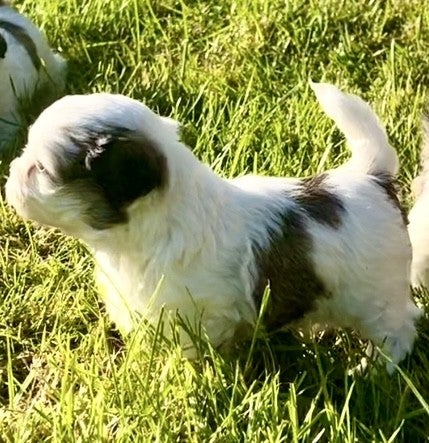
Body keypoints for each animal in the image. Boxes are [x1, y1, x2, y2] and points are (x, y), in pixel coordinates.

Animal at [5, 82, 422, 372]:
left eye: (41, 171)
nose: (10, 172)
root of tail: (370, 176)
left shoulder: (201, 314)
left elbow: (197, 350)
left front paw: (193, 376)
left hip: (378, 295)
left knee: (398, 329)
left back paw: (377, 369)